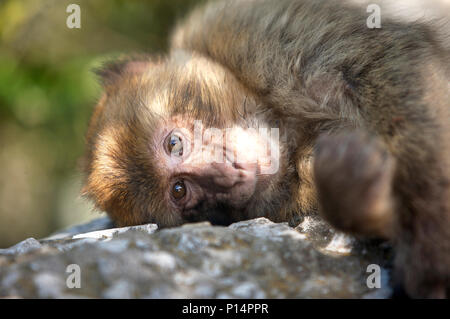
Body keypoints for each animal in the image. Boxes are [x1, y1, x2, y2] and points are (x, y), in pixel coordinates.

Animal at [81, 0, 450, 300]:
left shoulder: (257, 34)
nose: (226, 176)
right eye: (181, 191)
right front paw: (358, 197)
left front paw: (429, 267)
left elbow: (397, 71)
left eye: (174, 143)